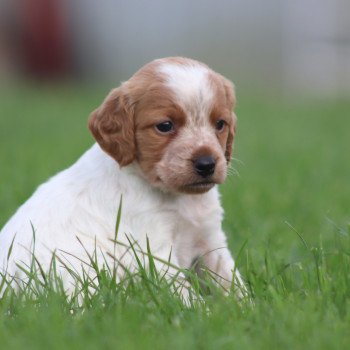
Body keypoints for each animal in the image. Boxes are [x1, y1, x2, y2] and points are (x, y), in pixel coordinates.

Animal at [0, 57, 245, 298]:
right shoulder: (154, 251)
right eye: (165, 126)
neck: (179, 198)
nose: (206, 164)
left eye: (220, 124)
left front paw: (245, 304)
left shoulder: (211, 239)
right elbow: (187, 296)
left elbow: (231, 280)